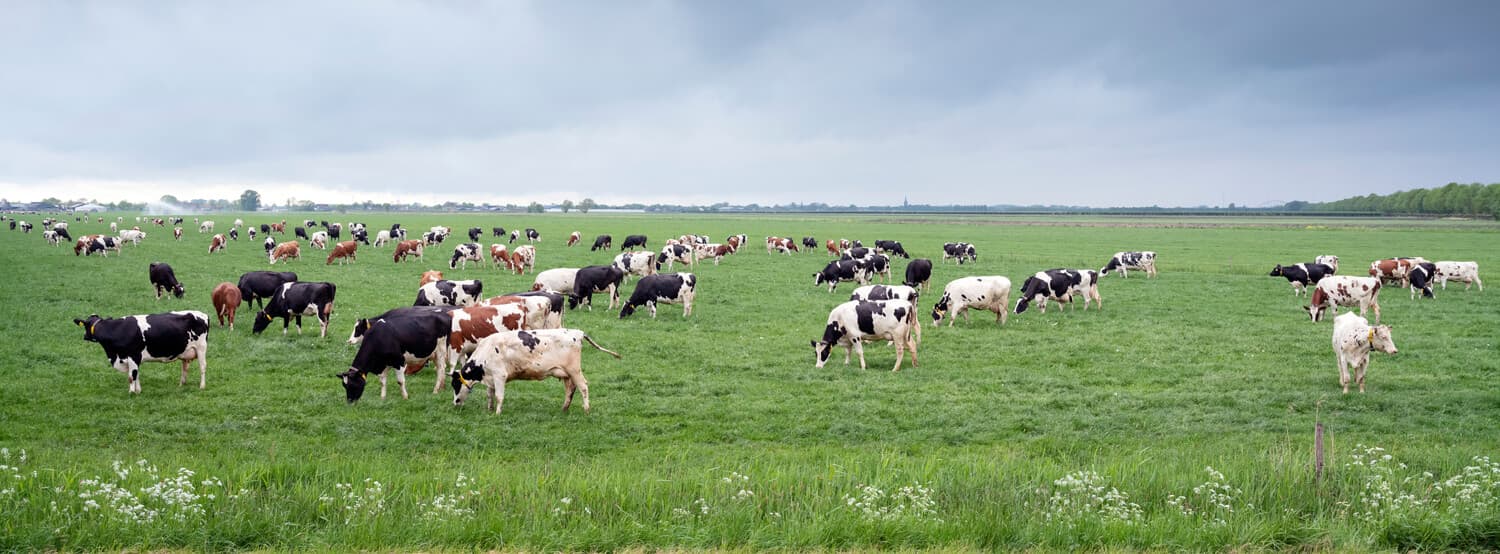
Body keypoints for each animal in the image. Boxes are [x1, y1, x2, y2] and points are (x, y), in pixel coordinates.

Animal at [72, 310, 210, 393]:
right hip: (186, 351)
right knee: (185, 367)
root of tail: (202, 314)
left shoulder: (133, 355)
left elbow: (131, 376)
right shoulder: (131, 358)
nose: (84, 336)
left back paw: (202, 386)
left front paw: (131, 392)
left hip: (201, 348)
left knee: (203, 367)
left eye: (85, 326)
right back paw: (182, 384)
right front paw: (138, 391)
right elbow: (136, 374)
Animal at [444, 327, 621, 414]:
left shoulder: (500, 376)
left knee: (583, 387)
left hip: (574, 370)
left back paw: (586, 409)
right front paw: (490, 409)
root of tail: (577, 333)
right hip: (565, 373)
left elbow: (499, 396)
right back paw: (564, 409)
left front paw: (498, 413)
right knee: (570, 389)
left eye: (455, 384)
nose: (455, 402)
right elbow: (490, 395)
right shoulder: (491, 378)